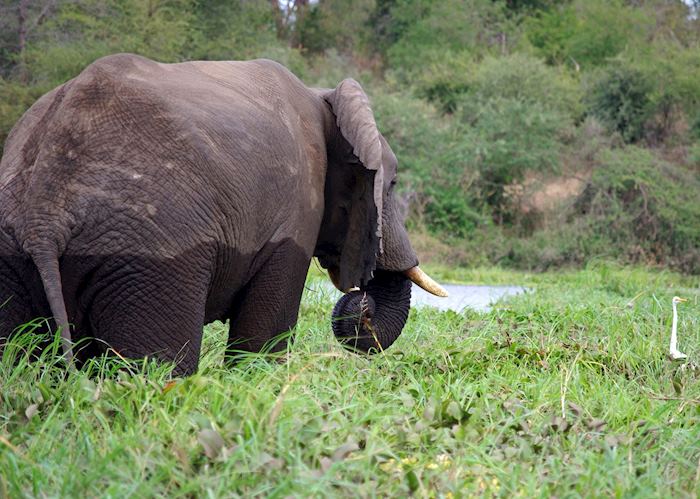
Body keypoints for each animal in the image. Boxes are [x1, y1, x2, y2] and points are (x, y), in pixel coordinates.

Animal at [0, 54, 446, 376]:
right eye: (392, 184)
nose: (361, 304)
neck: (322, 99)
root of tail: (43, 215)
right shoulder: (296, 213)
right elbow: (264, 336)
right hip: (151, 255)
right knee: (155, 370)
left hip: (14, 251)